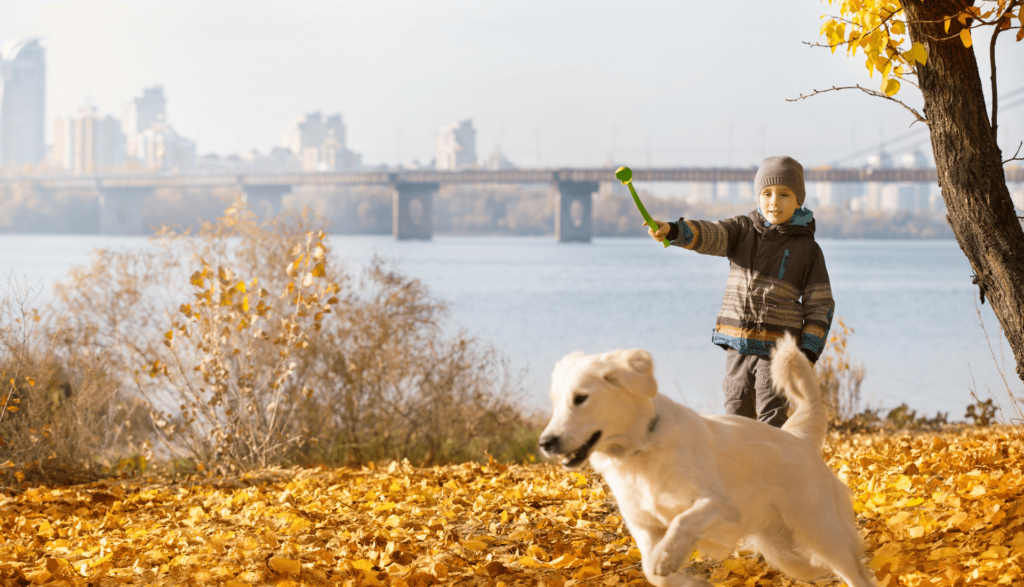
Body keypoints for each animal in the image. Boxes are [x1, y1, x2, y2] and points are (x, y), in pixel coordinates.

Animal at [536, 333, 872, 585]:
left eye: (581, 398)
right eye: (555, 401)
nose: (545, 443)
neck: (641, 450)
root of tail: (797, 438)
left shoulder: (720, 504)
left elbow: (683, 521)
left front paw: (668, 557)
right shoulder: (643, 525)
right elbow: (651, 571)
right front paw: (687, 579)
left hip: (822, 532)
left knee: (857, 573)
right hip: (786, 554)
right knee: (823, 569)